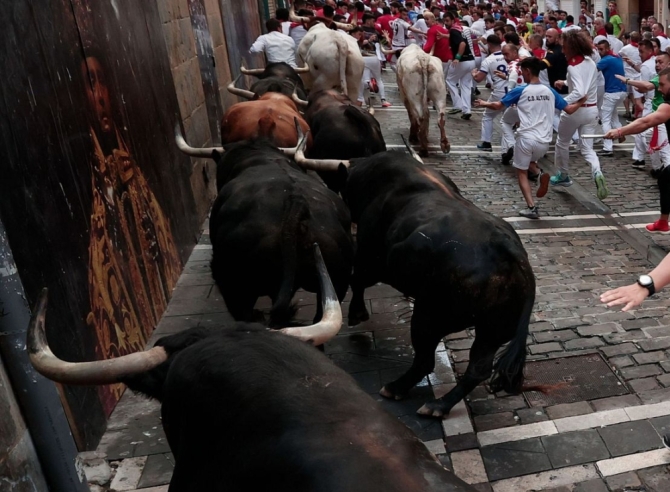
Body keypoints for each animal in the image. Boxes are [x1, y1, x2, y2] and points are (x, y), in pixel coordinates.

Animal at [342, 152, 536, 418]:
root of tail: (509, 251)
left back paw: (397, 389)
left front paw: (356, 313)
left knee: (425, 359)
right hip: (492, 331)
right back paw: (439, 405)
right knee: (478, 369)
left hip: (428, 315)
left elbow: (357, 280)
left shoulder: (370, 259)